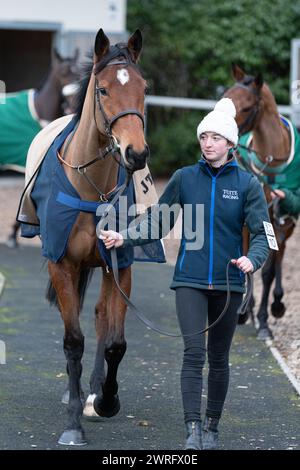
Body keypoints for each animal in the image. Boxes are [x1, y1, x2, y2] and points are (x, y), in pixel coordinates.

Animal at [20, 27, 149, 446]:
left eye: (143, 88)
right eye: (104, 89)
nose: (136, 153)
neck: (94, 193)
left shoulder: (120, 265)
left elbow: (115, 342)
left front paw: (105, 400)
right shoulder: (62, 263)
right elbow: (72, 339)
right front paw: (73, 424)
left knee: (100, 318)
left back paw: (92, 391)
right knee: (76, 317)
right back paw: (74, 391)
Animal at [225, 64, 298, 340]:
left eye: (246, 107)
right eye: (224, 96)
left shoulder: (283, 223)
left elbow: (269, 271)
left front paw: (266, 319)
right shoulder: (251, 222)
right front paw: (248, 312)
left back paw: (275, 303)